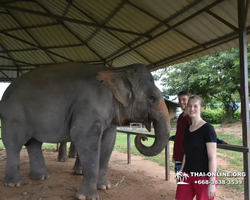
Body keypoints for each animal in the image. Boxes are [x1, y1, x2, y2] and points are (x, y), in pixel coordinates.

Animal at [0, 61, 171, 199]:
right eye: (151, 97)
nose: (143, 136)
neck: (117, 70)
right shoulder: (90, 106)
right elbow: (84, 138)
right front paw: (87, 197)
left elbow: (109, 141)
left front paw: (104, 187)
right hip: (12, 116)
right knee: (14, 144)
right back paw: (14, 184)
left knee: (34, 144)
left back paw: (41, 177)